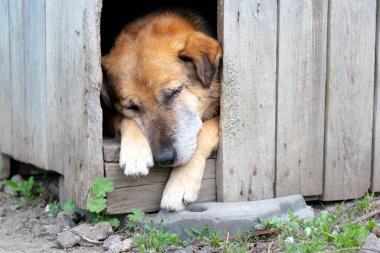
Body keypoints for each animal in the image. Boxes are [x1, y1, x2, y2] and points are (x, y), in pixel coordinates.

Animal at [101, 9, 221, 211]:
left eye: (173, 92)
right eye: (132, 107)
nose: (164, 159)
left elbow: (206, 131)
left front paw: (180, 184)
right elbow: (123, 118)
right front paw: (135, 152)